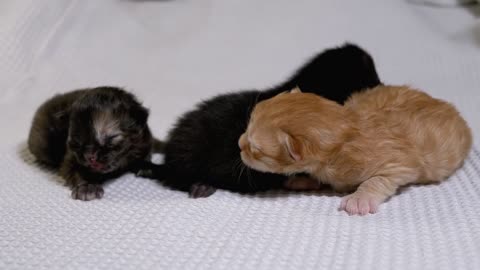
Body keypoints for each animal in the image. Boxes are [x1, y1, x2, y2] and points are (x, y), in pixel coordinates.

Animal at [27, 86, 155, 200]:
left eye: (110, 139)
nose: (90, 156)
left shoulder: (145, 141)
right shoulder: (70, 160)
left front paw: (145, 166)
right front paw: (87, 187)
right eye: (76, 142)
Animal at [142, 43, 382, 197]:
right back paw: (198, 185)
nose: (384, 85)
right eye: (372, 77)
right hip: (190, 150)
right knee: (174, 176)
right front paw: (304, 180)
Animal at [238, 85, 470, 216]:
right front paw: (304, 179)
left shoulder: (400, 163)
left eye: (255, 149)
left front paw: (360, 200)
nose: (239, 145)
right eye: (247, 127)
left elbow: (377, 180)